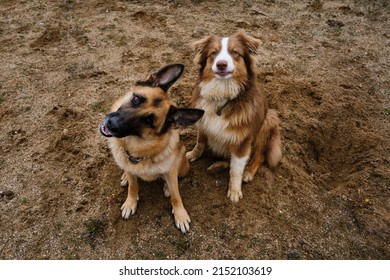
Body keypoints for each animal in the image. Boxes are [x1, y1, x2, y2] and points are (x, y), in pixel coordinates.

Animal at [100, 64, 204, 233]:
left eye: (148, 120)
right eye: (136, 99)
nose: (111, 123)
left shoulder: (171, 172)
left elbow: (176, 195)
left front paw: (180, 215)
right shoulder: (131, 169)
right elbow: (133, 187)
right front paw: (130, 202)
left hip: (182, 165)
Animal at [186, 31, 280, 202]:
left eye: (235, 52)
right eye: (213, 53)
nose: (221, 64)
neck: (222, 96)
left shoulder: (243, 141)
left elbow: (236, 169)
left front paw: (235, 191)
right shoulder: (203, 123)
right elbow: (200, 143)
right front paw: (192, 155)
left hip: (269, 120)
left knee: (260, 156)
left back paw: (248, 172)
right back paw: (217, 166)